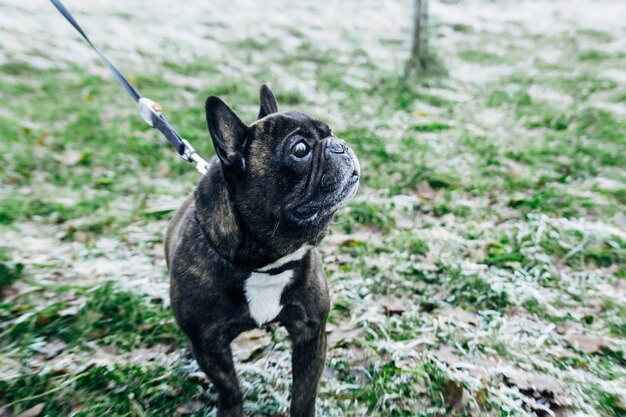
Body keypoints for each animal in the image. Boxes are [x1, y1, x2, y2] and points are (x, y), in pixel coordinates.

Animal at [165, 84, 360, 416]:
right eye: (300, 150)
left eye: (331, 132)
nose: (340, 145)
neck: (266, 264)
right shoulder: (209, 344)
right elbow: (229, 389)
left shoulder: (311, 333)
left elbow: (304, 393)